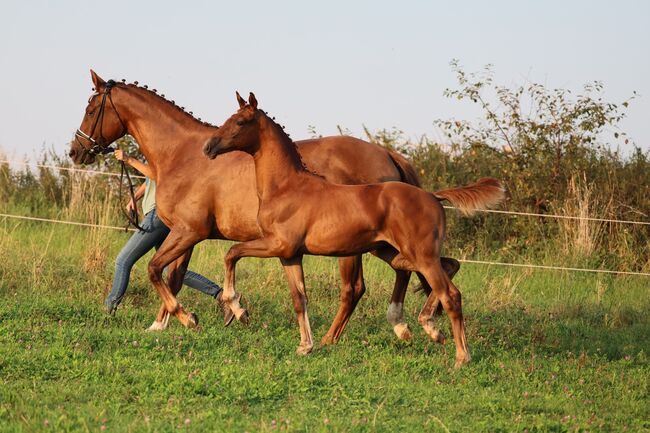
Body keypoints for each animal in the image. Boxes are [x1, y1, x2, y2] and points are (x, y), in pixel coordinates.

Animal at [202, 93, 502, 366]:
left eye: (240, 121)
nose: (208, 147)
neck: (286, 187)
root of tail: (433, 196)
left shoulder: (277, 244)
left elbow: (232, 252)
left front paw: (237, 307)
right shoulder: (290, 254)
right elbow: (299, 298)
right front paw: (305, 346)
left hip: (420, 255)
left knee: (449, 294)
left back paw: (460, 356)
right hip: (398, 252)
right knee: (446, 268)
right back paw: (429, 328)